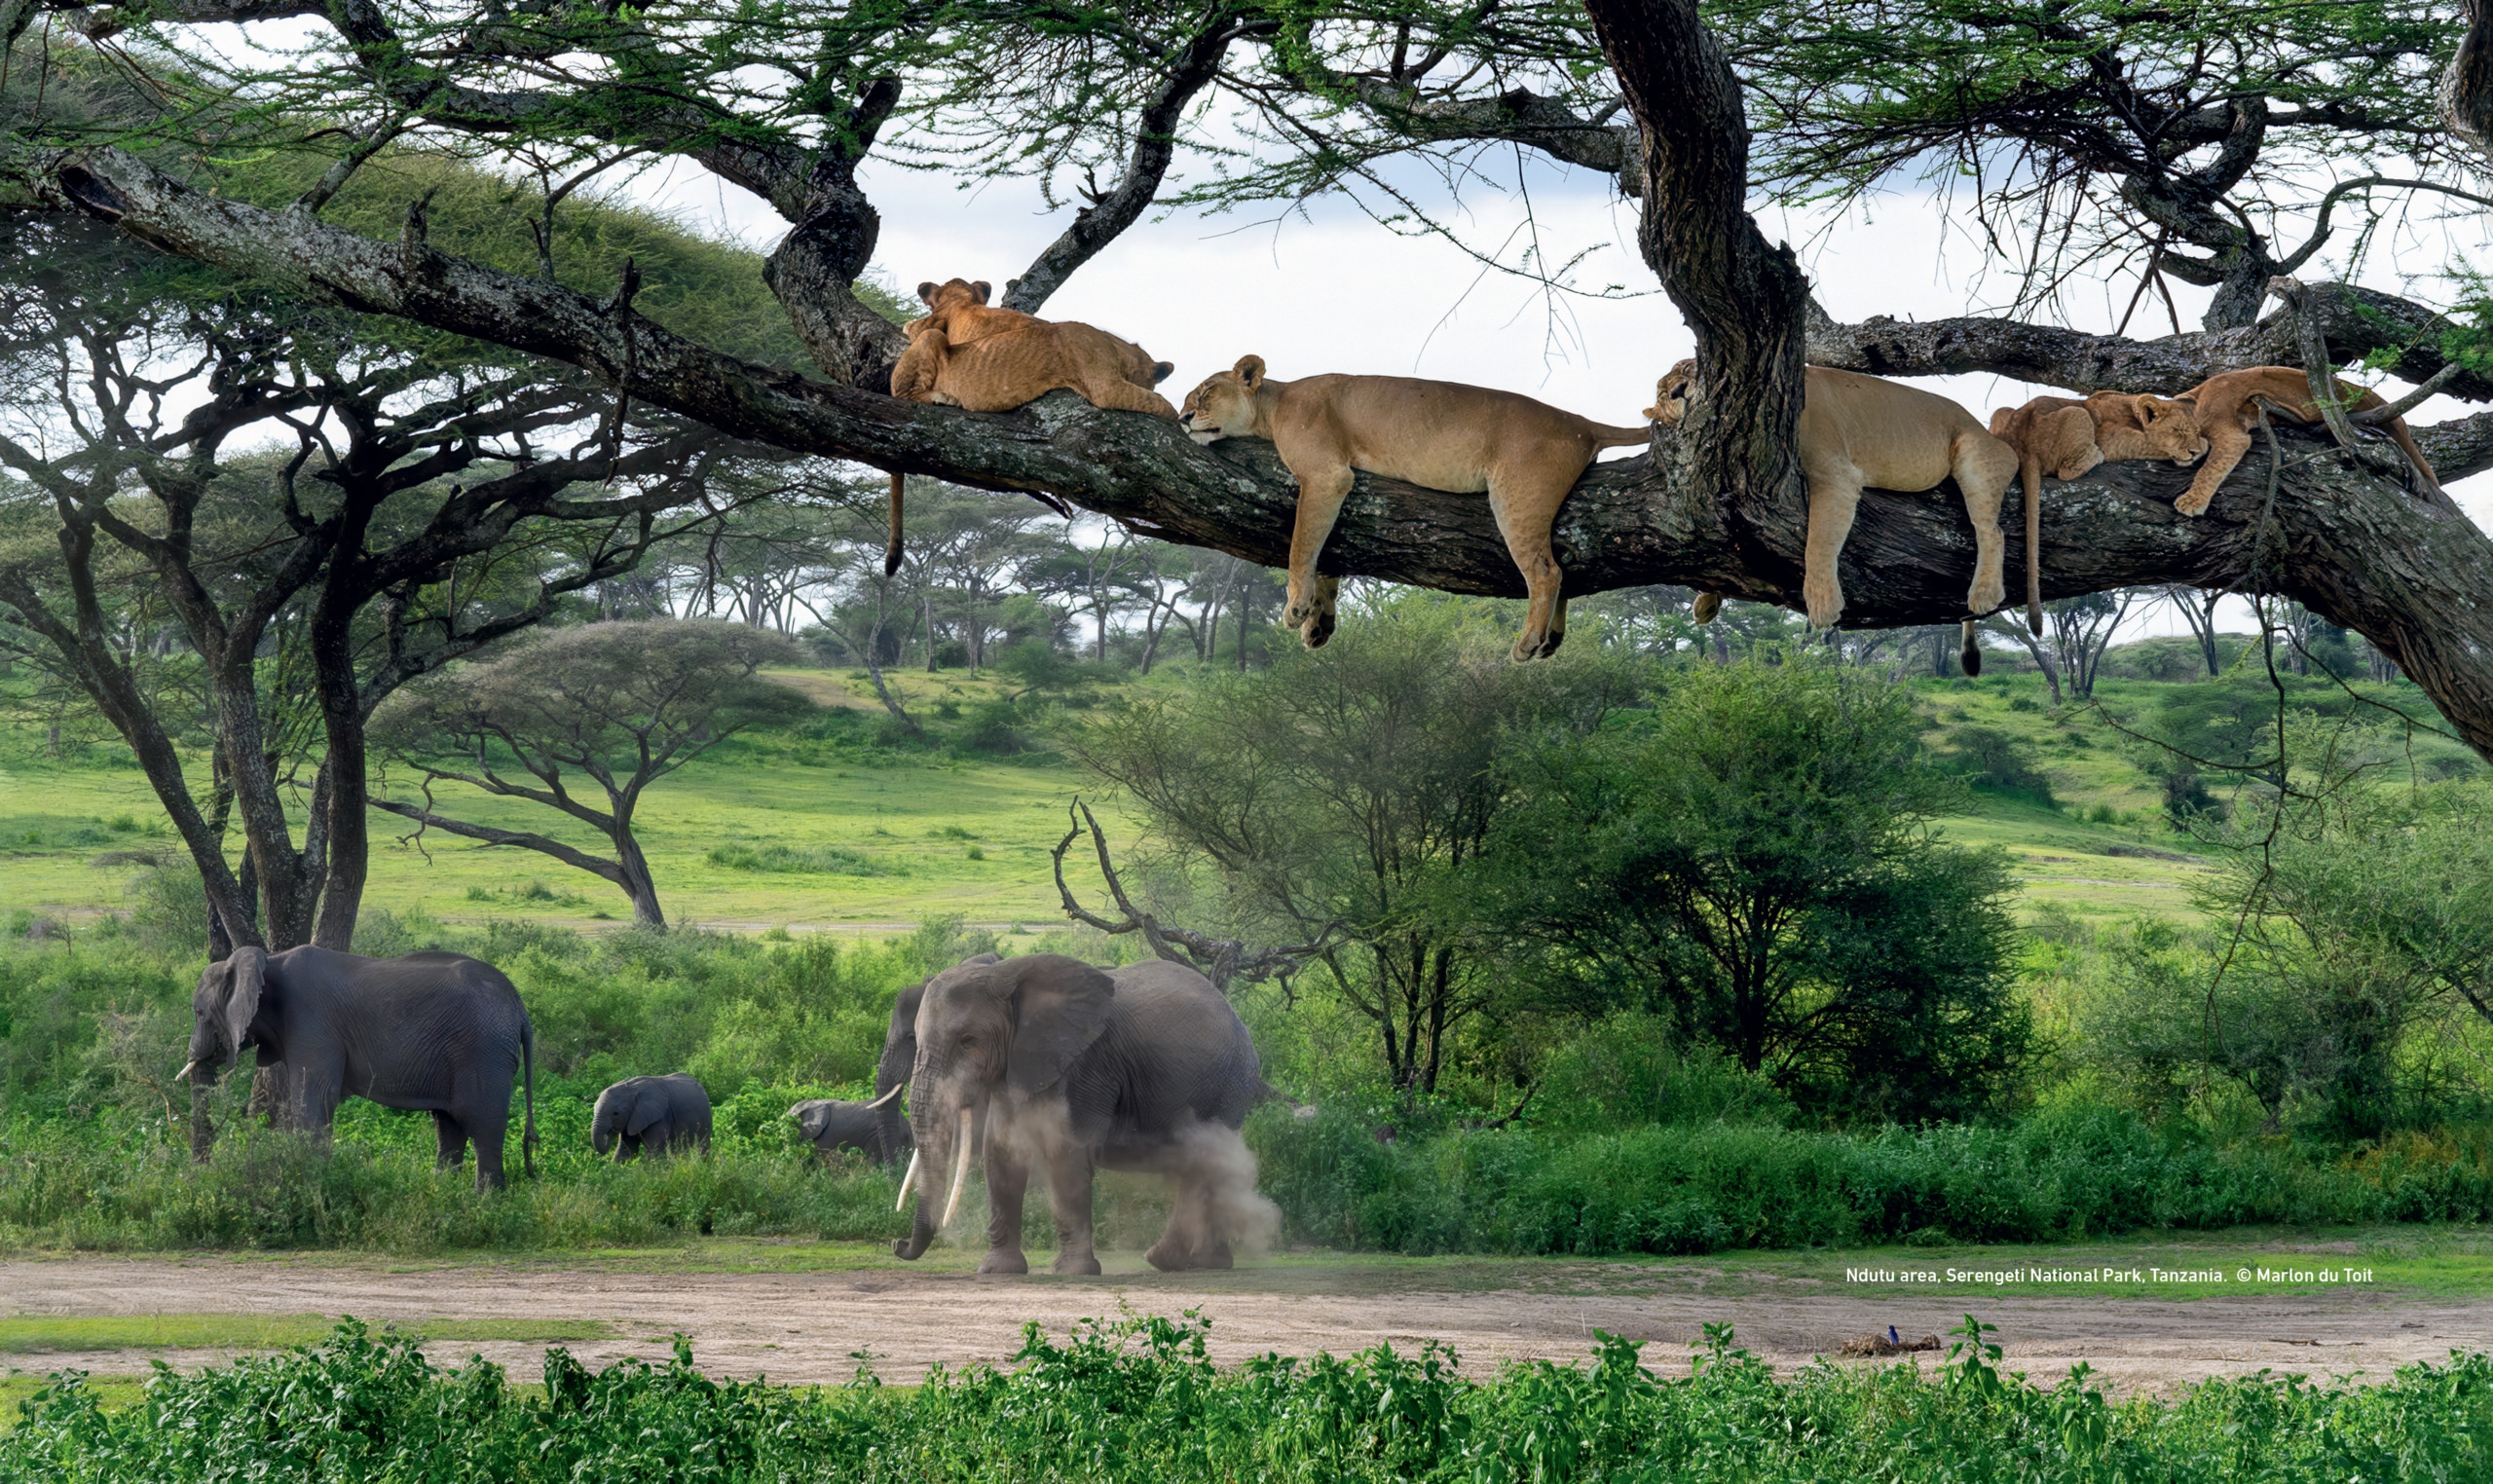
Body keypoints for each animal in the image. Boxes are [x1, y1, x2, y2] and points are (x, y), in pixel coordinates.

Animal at [881, 278, 1177, 573]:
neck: (1118, 349)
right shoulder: (1105, 386)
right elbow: (1162, 404)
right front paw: (1185, 424)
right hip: (929, 342)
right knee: (906, 392)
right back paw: (943, 398)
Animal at [1178, 355, 1650, 661]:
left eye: (1205, 394)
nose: (1183, 419)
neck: (1275, 402)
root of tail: (1581, 422)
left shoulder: (1327, 476)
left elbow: (1301, 546)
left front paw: (1295, 608)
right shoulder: (1336, 485)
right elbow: (1325, 553)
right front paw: (1318, 623)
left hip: (1517, 497)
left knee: (1546, 571)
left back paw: (1529, 643)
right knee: (1565, 566)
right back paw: (1550, 638)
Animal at [1650, 359, 2020, 676]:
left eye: (1691, 370)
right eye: (1663, 393)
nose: (1679, 391)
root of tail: (1982, 427)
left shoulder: (1835, 473)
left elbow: (1819, 540)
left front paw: (1823, 603)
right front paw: (1706, 600)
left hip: (1975, 457)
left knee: (1991, 530)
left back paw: (1984, 592)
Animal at [1986, 392, 2207, 633]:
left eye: (2196, 431)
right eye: (2179, 430)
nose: (2194, 452)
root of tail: (2024, 446)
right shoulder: (2118, 442)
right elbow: (2155, 445)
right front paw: (2206, 446)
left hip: (2001, 413)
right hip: (2077, 412)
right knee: (2067, 472)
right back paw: (2094, 455)